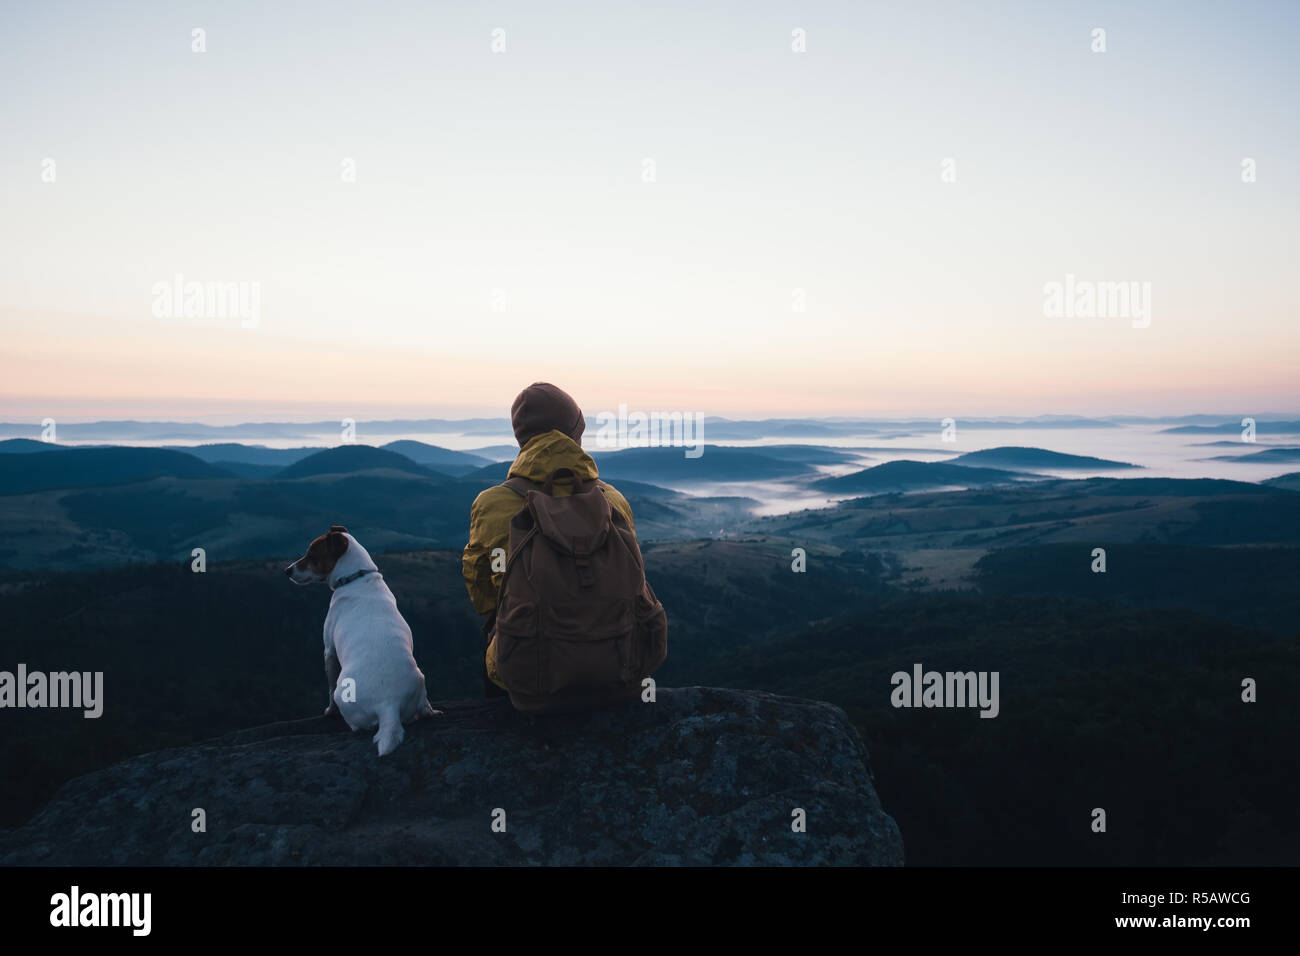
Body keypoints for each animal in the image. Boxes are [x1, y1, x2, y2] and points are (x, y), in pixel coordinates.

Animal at [284, 522, 436, 754]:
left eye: (311, 555)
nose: (287, 570)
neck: (357, 577)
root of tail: (388, 705)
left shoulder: (329, 651)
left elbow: (328, 686)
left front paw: (329, 711)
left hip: (343, 692)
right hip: (420, 679)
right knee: (423, 708)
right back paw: (431, 711)